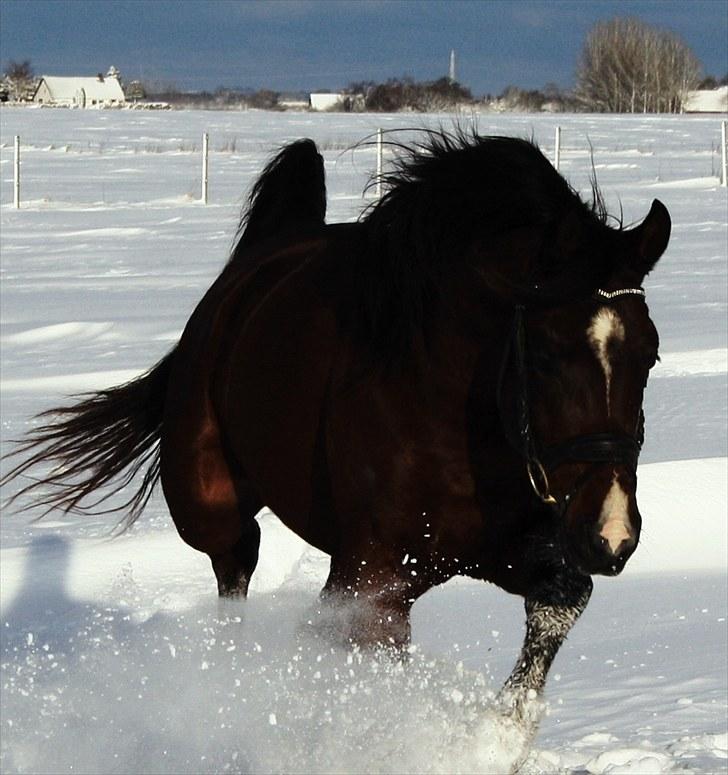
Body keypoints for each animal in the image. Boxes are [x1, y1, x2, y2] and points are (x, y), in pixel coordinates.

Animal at [1, 132, 672, 720]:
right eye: (548, 354)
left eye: (650, 355)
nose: (612, 534)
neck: (456, 424)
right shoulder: (372, 580)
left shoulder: (504, 553)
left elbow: (560, 606)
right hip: (208, 505)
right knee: (234, 564)